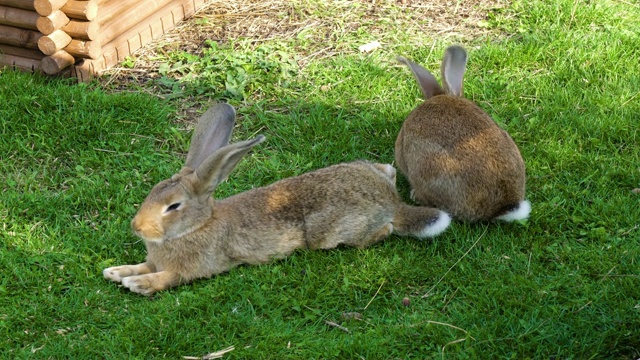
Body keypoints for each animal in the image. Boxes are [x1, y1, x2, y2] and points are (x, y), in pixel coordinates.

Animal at [104, 102, 450, 296]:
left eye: (173, 206)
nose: (136, 227)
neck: (198, 226)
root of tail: (392, 201)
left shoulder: (195, 268)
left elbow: (169, 277)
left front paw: (140, 285)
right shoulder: (154, 259)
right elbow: (141, 265)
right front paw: (116, 272)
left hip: (330, 233)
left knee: (383, 231)